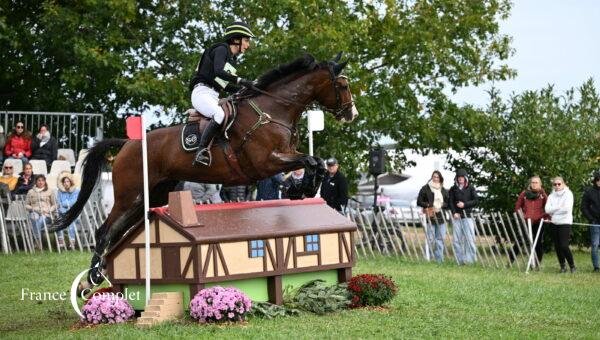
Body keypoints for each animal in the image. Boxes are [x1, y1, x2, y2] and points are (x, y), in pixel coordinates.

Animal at [50, 53, 356, 286]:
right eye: (342, 85)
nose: (351, 115)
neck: (273, 109)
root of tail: (127, 143)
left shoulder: (285, 157)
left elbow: (315, 162)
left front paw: (302, 190)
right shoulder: (266, 162)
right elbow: (310, 162)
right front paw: (303, 188)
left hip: (152, 196)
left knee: (117, 231)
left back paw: (101, 273)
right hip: (129, 194)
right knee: (104, 230)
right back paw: (93, 276)